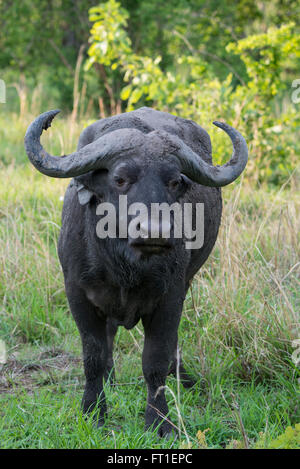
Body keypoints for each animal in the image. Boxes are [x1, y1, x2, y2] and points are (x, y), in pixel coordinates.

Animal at [24, 108, 247, 436]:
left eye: (174, 182)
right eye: (120, 179)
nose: (155, 231)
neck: (124, 266)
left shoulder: (171, 296)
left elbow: (155, 360)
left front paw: (160, 421)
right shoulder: (77, 294)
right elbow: (93, 356)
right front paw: (94, 412)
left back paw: (182, 378)